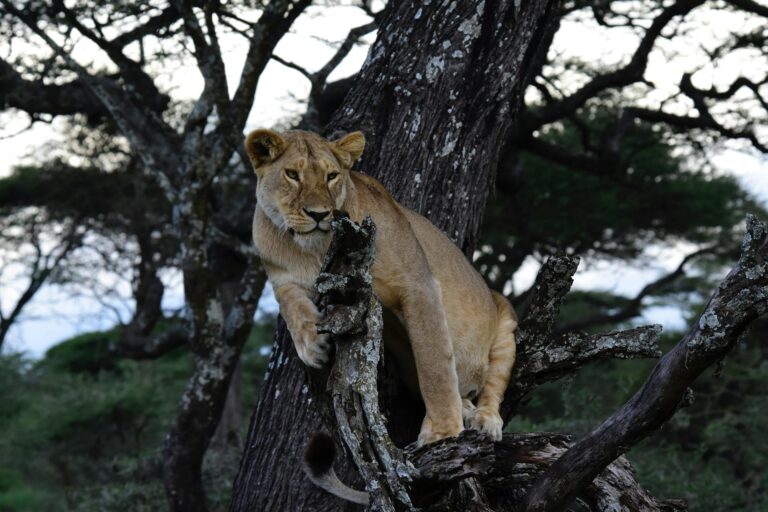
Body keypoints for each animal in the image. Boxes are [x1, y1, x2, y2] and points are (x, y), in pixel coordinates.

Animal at [245, 128, 517, 448]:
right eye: (291, 174)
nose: (319, 214)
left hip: (504, 319)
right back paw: (466, 408)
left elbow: (434, 364)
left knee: (491, 385)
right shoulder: (281, 276)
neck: (311, 250)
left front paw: (442, 432)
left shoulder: (418, 284)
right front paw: (312, 345)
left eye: (331, 176)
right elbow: (289, 304)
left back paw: (484, 419)